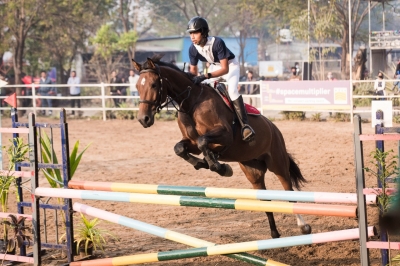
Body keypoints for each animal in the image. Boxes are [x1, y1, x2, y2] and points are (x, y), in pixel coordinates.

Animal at [133, 55, 310, 238]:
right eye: (138, 86)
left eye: (154, 85)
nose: (143, 119)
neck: (191, 103)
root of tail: (273, 127)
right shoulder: (191, 143)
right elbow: (180, 148)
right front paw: (204, 163)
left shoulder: (225, 136)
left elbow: (203, 141)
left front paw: (220, 167)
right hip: (252, 170)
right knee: (264, 199)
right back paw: (274, 234)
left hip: (277, 163)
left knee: (289, 190)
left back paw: (303, 226)